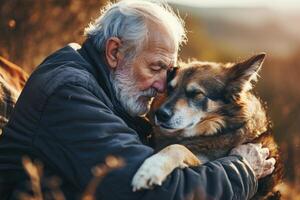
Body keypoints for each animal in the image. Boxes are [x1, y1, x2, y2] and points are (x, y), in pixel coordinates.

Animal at [132, 53, 282, 200]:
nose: (160, 114)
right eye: (169, 89)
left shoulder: (203, 162)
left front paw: (150, 169)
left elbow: (177, 148)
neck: (217, 131)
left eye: (196, 94)